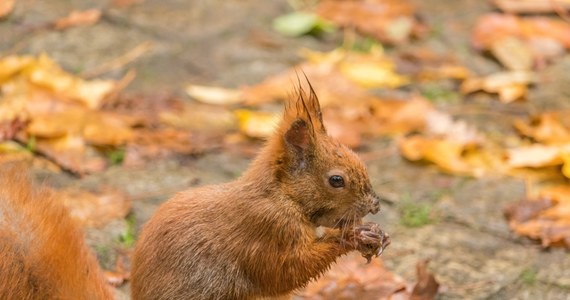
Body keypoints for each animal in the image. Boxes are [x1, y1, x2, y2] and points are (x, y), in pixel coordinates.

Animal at [132, 81, 390, 298]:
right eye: (336, 180)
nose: (375, 205)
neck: (281, 195)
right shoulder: (268, 225)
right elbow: (286, 271)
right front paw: (356, 235)